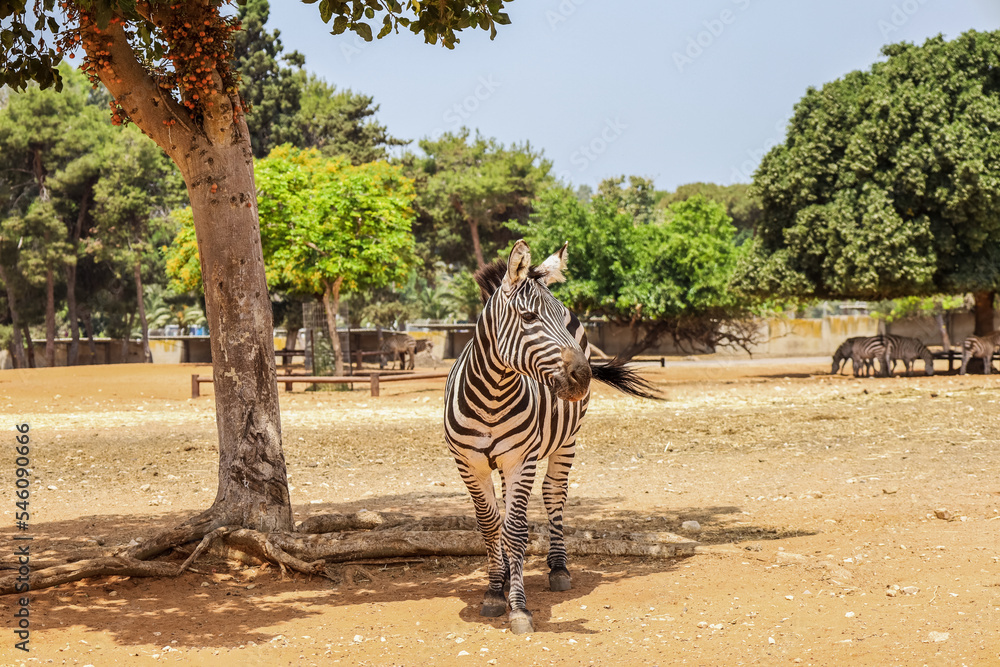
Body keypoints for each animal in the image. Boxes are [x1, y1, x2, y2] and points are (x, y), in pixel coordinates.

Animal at [446, 241, 656, 636]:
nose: (584, 376)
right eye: (529, 318)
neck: (491, 397)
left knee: (554, 492)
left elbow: (515, 530)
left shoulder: (522, 460)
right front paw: (494, 590)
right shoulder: (468, 464)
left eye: (561, 319)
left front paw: (518, 608)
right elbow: (490, 526)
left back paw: (558, 568)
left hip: (566, 440)